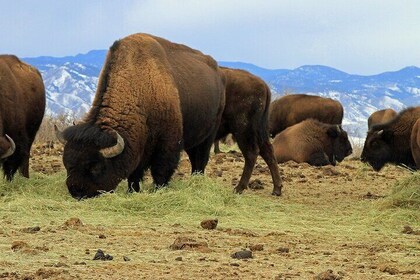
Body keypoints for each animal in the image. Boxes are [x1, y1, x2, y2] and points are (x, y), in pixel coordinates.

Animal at [57, 33, 226, 199]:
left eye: (95, 167)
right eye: (67, 164)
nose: (76, 192)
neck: (140, 88)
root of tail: (217, 72)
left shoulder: (168, 144)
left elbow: (161, 170)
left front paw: (158, 190)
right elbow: (134, 174)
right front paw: (133, 191)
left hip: (209, 135)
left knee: (201, 159)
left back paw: (197, 181)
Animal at [217, 67, 282, 196]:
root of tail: (264, 85)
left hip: (243, 130)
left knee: (251, 153)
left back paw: (239, 188)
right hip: (260, 130)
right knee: (267, 151)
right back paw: (277, 189)